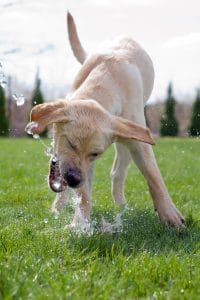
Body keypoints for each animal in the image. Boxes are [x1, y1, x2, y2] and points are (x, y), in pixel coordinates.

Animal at [27, 11, 185, 227]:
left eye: (96, 153)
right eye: (71, 143)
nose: (74, 179)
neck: (105, 81)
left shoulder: (135, 140)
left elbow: (153, 176)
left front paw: (169, 213)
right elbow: (83, 194)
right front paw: (80, 224)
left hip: (127, 141)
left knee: (117, 174)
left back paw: (121, 205)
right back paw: (59, 206)